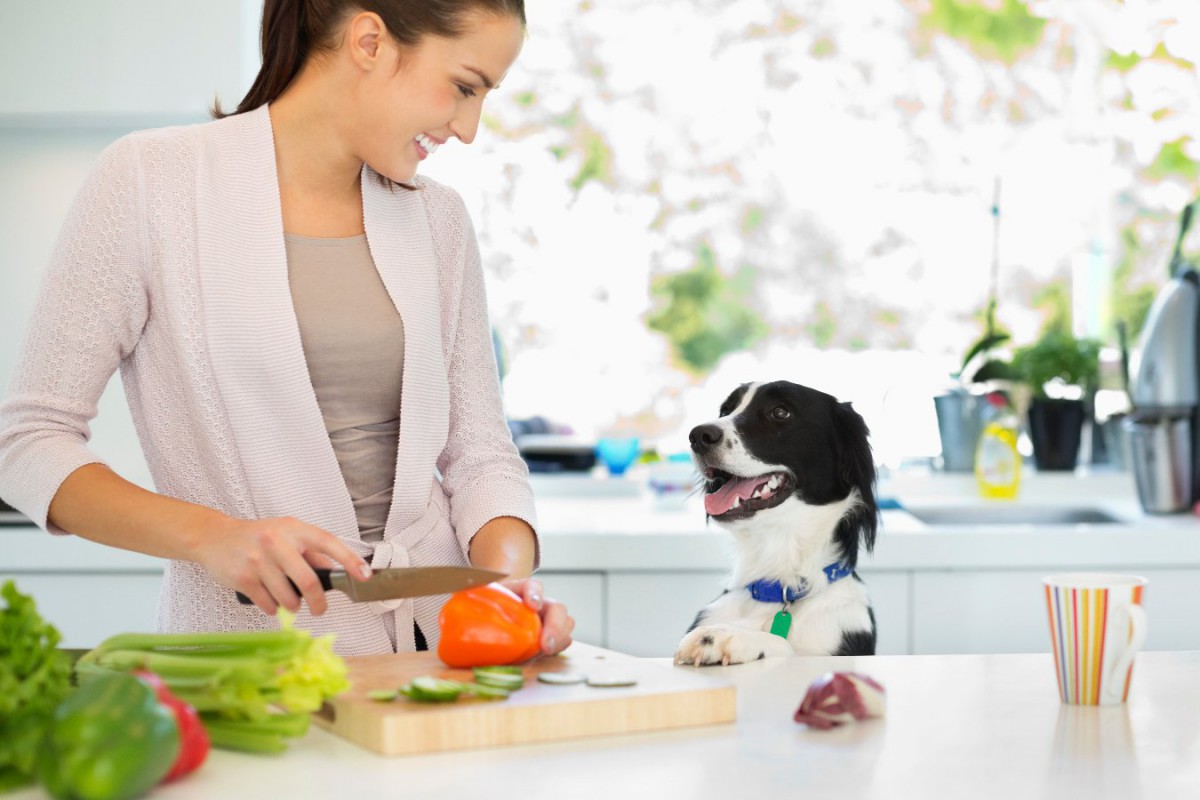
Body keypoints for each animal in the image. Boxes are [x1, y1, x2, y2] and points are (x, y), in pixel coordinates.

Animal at [676, 379, 883, 666]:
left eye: (780, 412)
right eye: (726, 410)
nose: (698, 436)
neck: (781, 584)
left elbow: (786, 647)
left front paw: (725, 636)